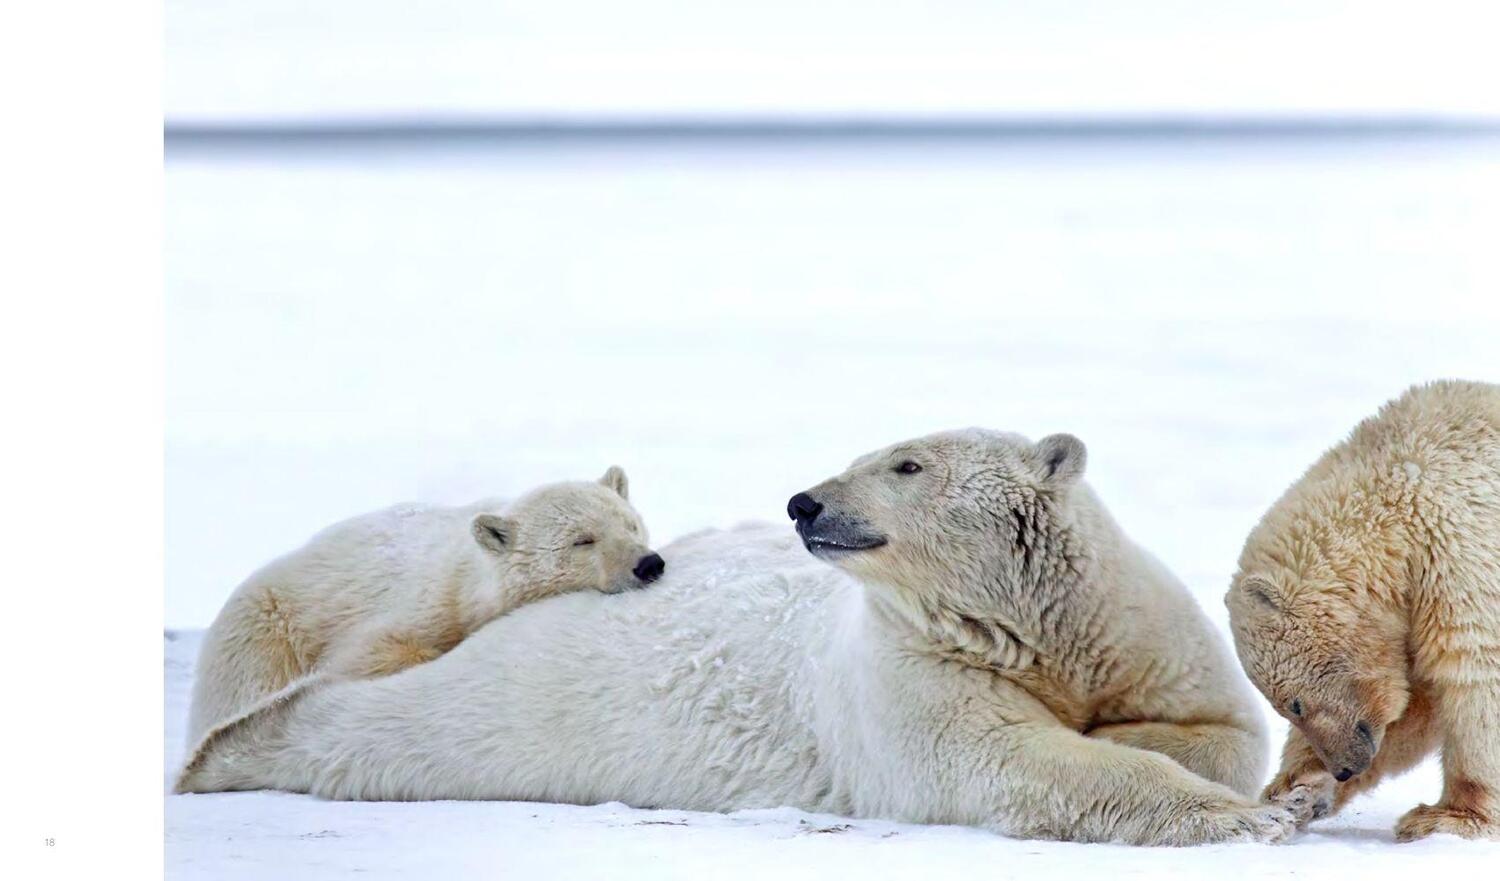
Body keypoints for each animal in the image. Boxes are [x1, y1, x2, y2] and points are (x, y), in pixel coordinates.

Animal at [178, 432, 1290, 846]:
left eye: (907, 461)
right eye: (881, 451)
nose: (805, 501)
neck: (1019, 623)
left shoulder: (1128, 618)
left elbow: (1218, 723)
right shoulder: (900, 670)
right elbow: (1005, 755)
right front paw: (1254, 819)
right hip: (514, 688)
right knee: (385, 725)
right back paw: (236, 744)